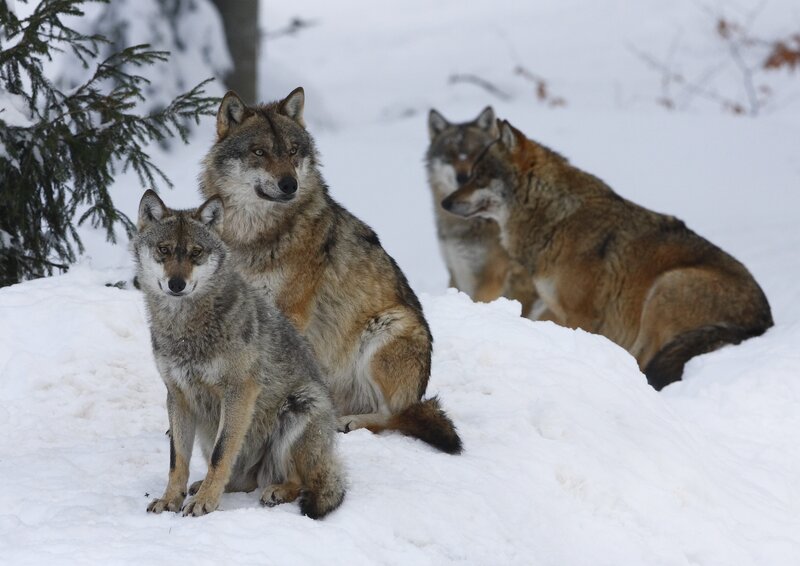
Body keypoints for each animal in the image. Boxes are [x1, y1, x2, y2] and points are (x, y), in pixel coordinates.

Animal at [134, 190, 346, 518]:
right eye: (164, 250)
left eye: (196, 252)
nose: (176, 284)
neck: (185, 328)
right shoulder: (177, 395)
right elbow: (177, 460)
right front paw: (171, 499)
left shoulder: (239, 391)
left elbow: (221, 454)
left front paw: (205, 503)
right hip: (208, 429)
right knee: (243, 481)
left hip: (300, 406)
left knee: (300, 481)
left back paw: (275, 491)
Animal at [198, 88, 462, 454]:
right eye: (259, 152)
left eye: (292, 151)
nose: (289, 184)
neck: (253, 235)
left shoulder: (290, 312)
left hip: (388, 328)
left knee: (395, 417)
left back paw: (348, 422)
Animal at [442, 120, 773, 389]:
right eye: (471, 175)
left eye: (480, 177)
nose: (445, 202)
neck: (558, 218)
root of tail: (762, 322)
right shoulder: (555, 308)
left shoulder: (582, 314)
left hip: (665, 289)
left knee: (644, 362)